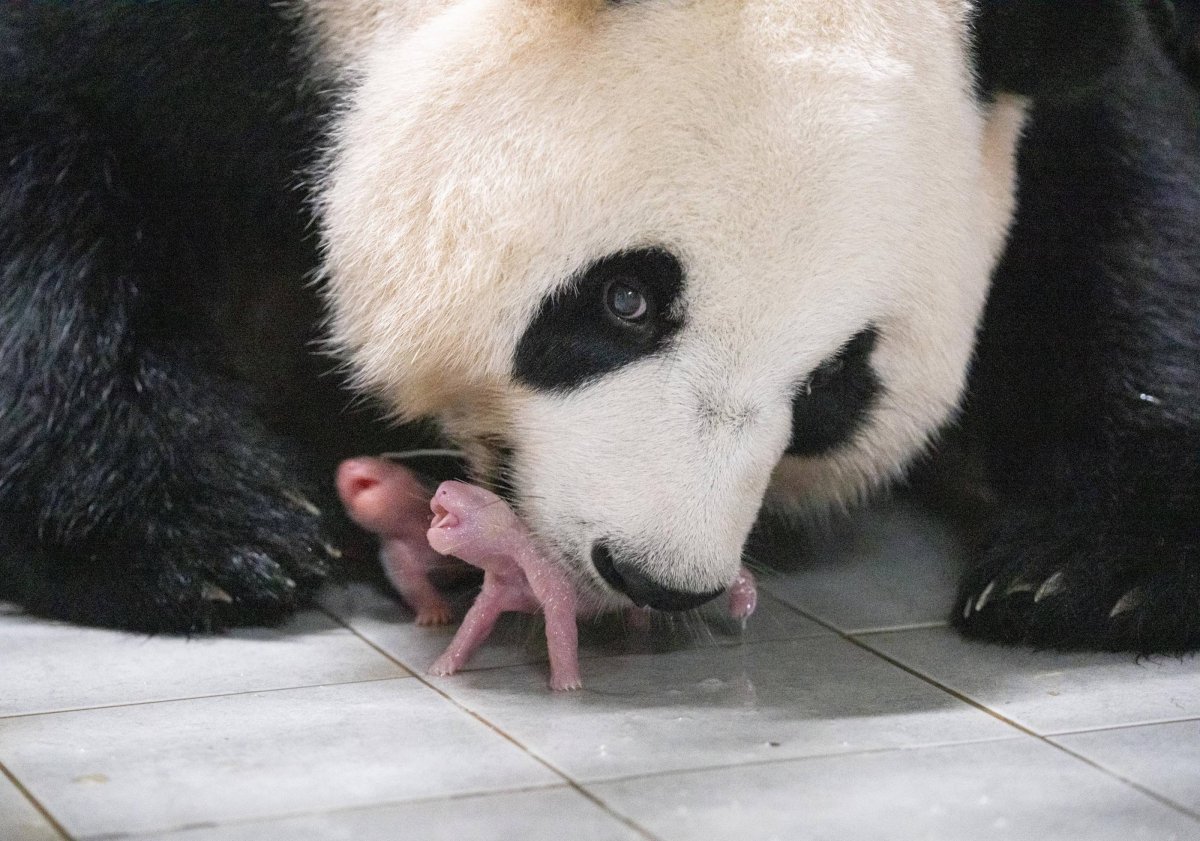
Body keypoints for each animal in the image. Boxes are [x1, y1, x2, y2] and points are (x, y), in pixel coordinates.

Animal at [2, 1, 1200, 647]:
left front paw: (1094, 568)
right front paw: (199, 532)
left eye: (833, 387)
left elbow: (1125, 201)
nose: (657, 574)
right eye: (626, 299)